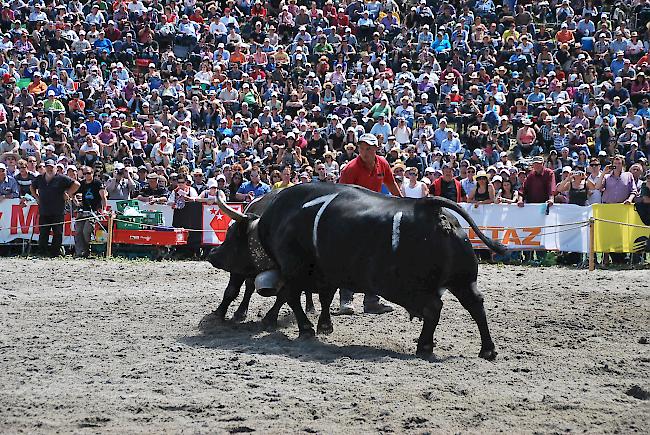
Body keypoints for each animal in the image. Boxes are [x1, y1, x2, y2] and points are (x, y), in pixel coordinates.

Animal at [210, 184, 504, 362]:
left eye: (232, 235)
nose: (213, 256)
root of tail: (429, 210)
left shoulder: (294, 269)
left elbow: (291, 297)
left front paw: (306, 329)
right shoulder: (325, 274)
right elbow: (322, 298)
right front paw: (323, 325)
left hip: (405, 287)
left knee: (434, 308)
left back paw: (424, 346)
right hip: (463, 280)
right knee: (476, 304)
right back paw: (487, 349)